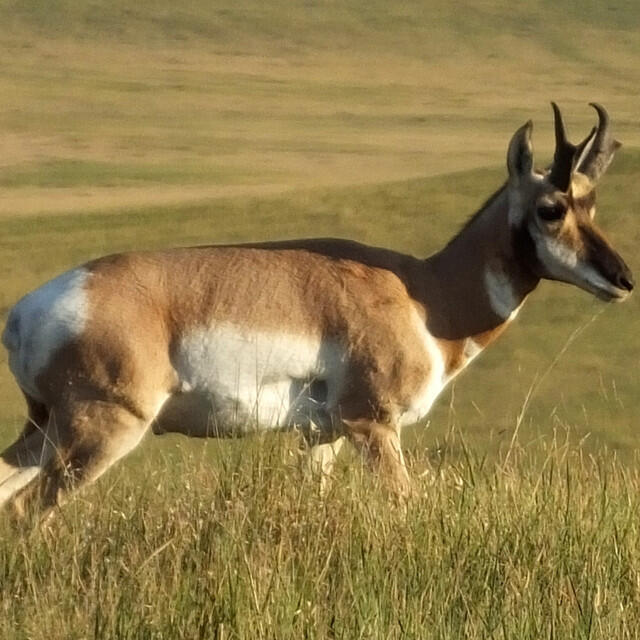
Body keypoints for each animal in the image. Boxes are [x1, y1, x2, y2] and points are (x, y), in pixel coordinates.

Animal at [0, 103, 634, 520]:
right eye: (551, 208)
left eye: (592, 204)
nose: (624, 280)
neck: (423, 293)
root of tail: (28, 311)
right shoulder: (371, 426)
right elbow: (405, 505)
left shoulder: (320, 438)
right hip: (101, 432)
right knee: (29, 511)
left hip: (45, 430)